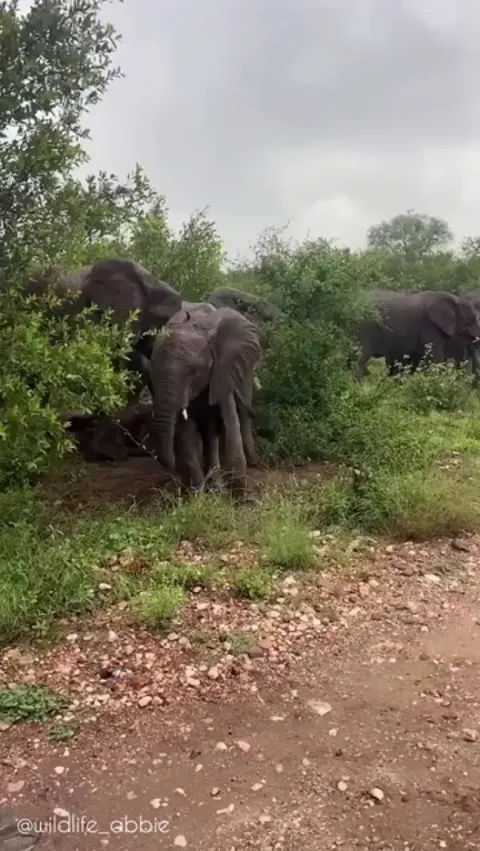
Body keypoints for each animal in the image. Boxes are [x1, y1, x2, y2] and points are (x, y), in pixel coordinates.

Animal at [149, 305, 262, 497]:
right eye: (153, 370)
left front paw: (245, 498)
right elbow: (185, 432)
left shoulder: (223, 371)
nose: (171, 466)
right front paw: (197, 497)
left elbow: (229, 423)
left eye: (193, 371)